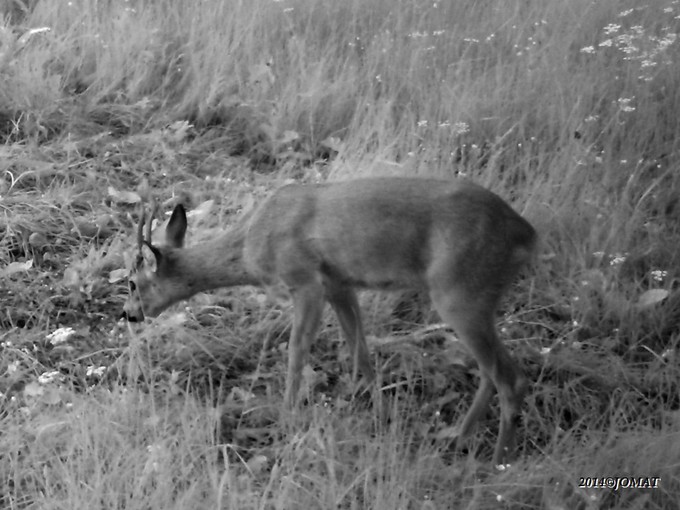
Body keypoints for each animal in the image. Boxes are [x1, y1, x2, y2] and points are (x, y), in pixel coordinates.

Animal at [122, 176, 536, 466]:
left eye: (131, 281)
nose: (128, 313)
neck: (250, 244)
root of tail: (526, 233)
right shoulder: (340, 284)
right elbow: (360, 349)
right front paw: (379, 413)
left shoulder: (305, 281)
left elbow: (296, 351)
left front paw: (287, 418)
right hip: (478, 299)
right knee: (490, 371)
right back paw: (457, 437)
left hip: (459, 293)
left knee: (510, 378)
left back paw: (496, 463)